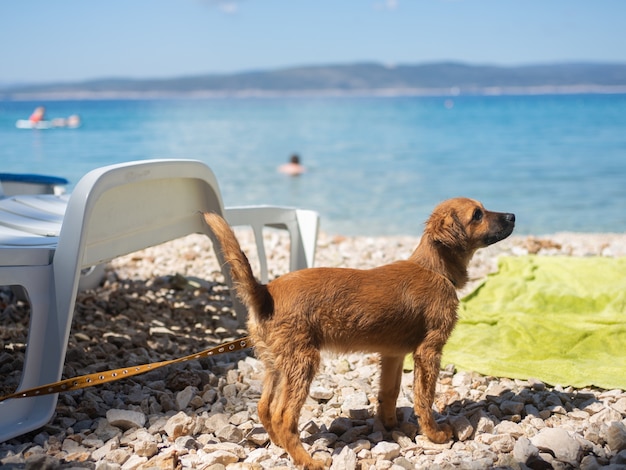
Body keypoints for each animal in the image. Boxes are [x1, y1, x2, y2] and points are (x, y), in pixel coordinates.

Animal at [204, 198, 512, 470]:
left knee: (264, 407)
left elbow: (389, 392)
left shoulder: (393, 354)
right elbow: (424, 397)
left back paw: (281, 446)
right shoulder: (429, 351)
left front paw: (393, 426)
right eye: (477, 215)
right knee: (283, 416)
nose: (512, 216)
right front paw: (434, 434)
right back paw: (307, 460)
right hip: (303, 362)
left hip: (277, 364)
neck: (434, 268)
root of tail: (264, 292)